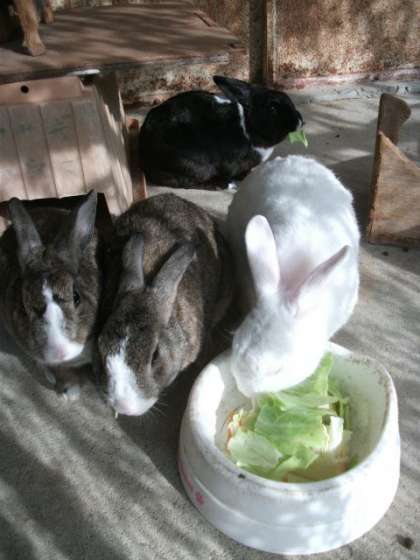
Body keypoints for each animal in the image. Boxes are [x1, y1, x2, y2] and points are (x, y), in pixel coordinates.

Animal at [138, 75, 303, 189]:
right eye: (273, 108)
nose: (300, 121)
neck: (248, 127)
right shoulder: (229, 164)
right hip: (193, 164)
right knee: (189, 182)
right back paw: (223, 186)